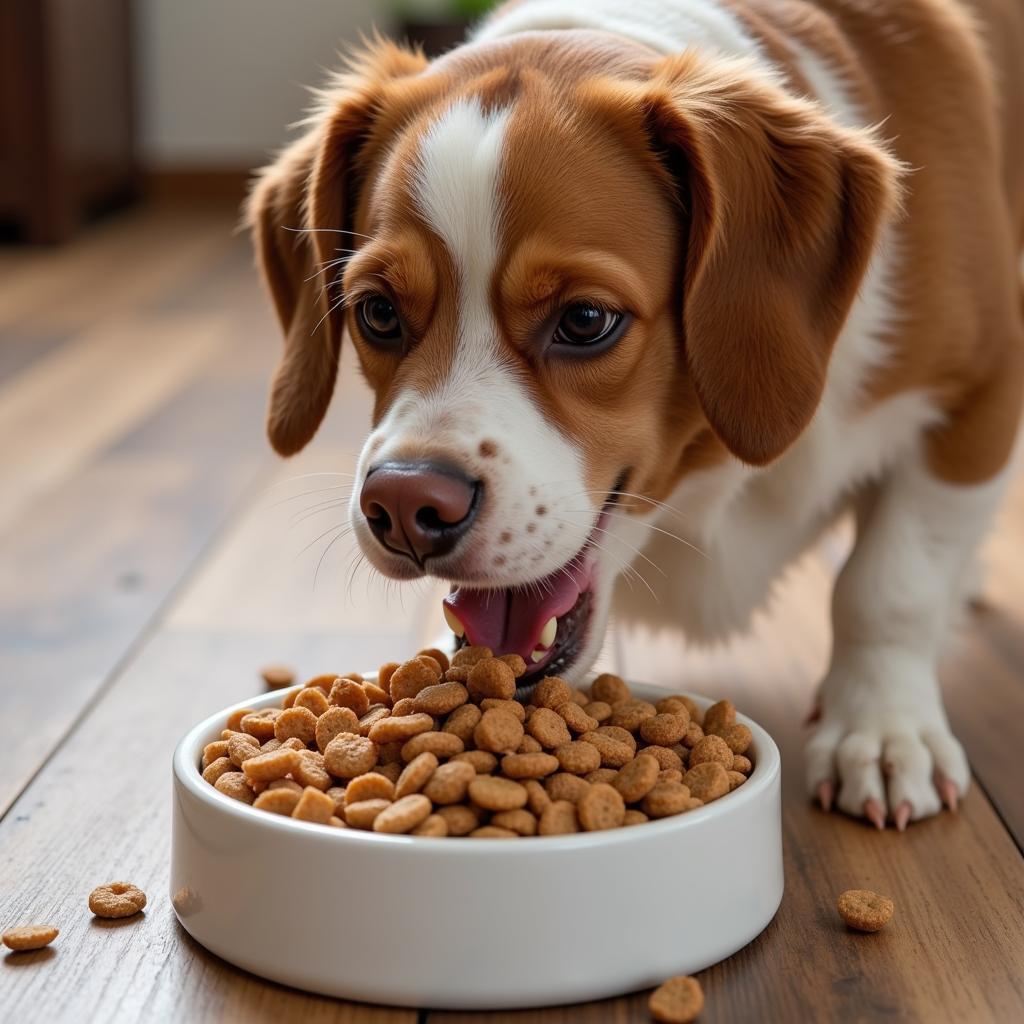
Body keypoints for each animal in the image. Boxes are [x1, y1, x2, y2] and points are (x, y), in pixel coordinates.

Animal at [247, 0, 1024, 827]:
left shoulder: (981, 391)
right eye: (378, 313)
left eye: (586, 320)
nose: (403, 506)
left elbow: (890, 584)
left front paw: (879, 729)